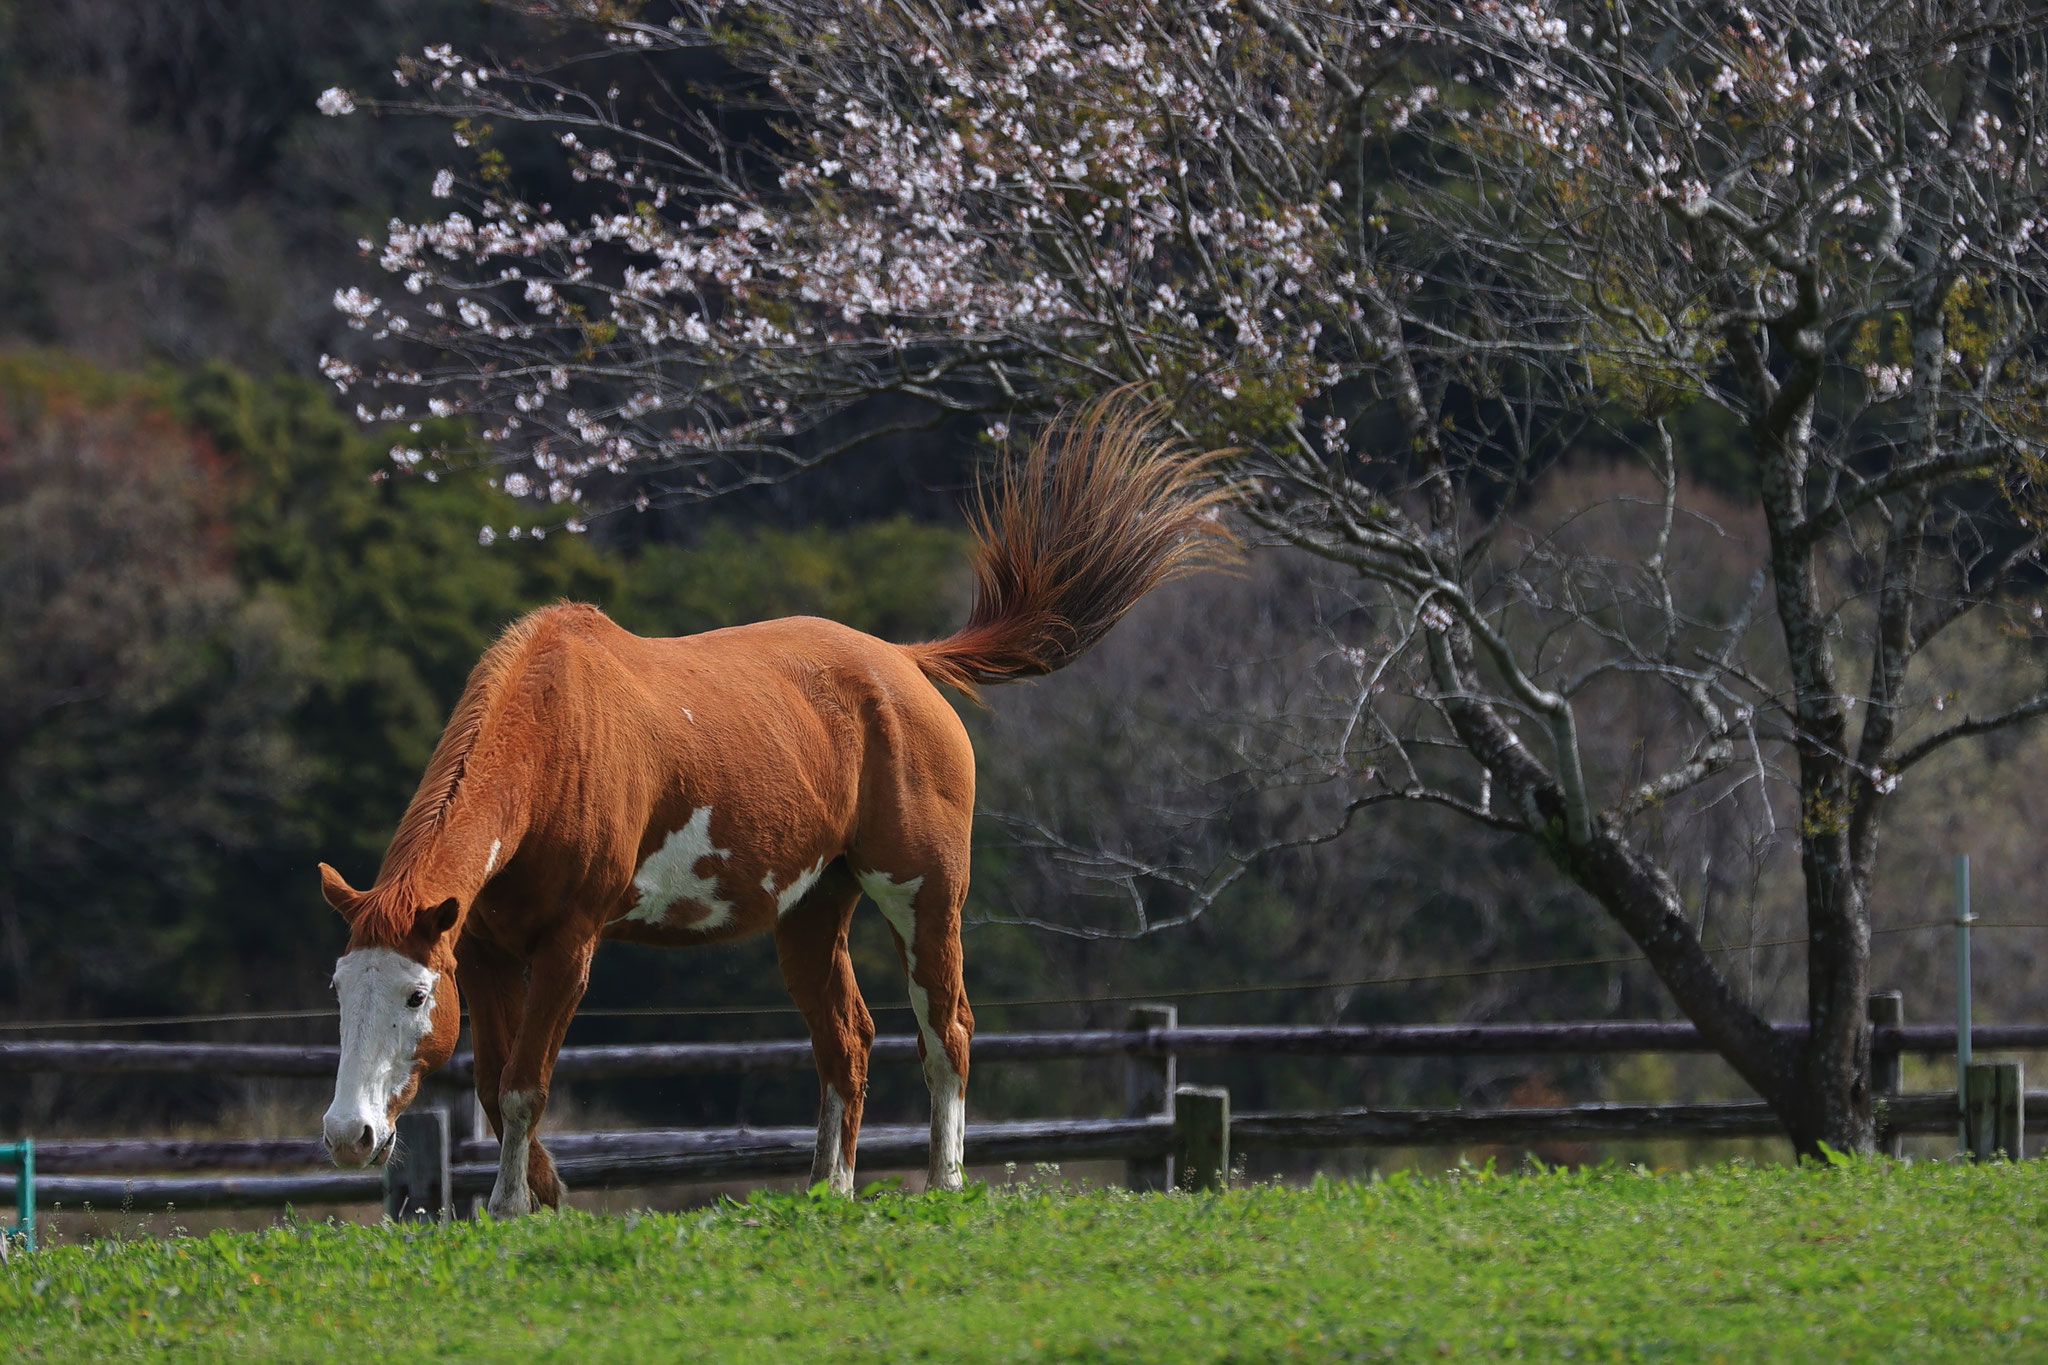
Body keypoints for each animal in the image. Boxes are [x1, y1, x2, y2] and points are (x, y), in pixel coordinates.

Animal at [316, 396, 1230, 1215]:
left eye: (413, 997)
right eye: (340, 989)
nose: (347, 1136)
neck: (555, 734)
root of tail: (906, 661)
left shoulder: (569, 946)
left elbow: (522, 1084)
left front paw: (513, 1204)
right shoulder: (487, 949)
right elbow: (491, 1077)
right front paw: (542, 1191)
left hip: (926, 896)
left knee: (947, 1028)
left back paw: (944, 1180)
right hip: (813, 908)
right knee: (847, 1040)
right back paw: (830, 1186)